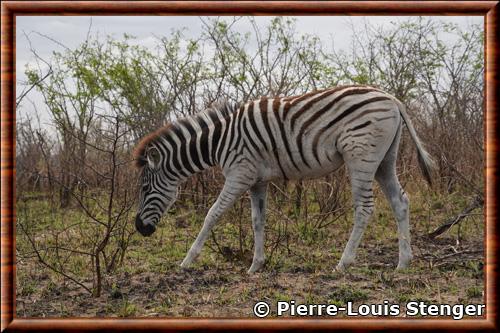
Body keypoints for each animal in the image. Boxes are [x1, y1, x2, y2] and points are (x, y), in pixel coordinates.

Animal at [134, 85, 434, 272]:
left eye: (146, 188)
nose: (140, 228)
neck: (220, 141)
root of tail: (391, 98)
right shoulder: (257, 180)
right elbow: (257, 220)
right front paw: (255, 265)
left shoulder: (239, 175)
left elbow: (212, 215)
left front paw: (188, 260)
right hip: (384, 160)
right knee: (400, 202)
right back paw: (403, 263)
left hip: (360, 155)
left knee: (364, 208)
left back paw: (343, 263)